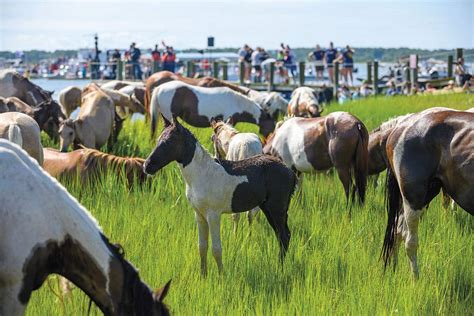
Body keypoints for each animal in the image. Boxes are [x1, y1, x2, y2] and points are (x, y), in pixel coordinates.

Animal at [143, 116, 296, 276]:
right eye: (158, 139)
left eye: (169, 141)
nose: (147, 166)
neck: (201, 173)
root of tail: (290, 172)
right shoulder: (199, 215)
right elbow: (202, 247)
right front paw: (203, 275)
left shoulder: (213, 215)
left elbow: (216, 249)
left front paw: (222, 276)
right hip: (267, 208)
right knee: (282, 235)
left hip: (277, 208)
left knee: (283, 235)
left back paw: (280, 268)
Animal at [382, 110, 474, 278]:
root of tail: (402, 124)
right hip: (413, 196)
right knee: (410, 241)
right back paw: (415, 279)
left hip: (428, 192)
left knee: (397, 230)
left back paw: (394, 269)